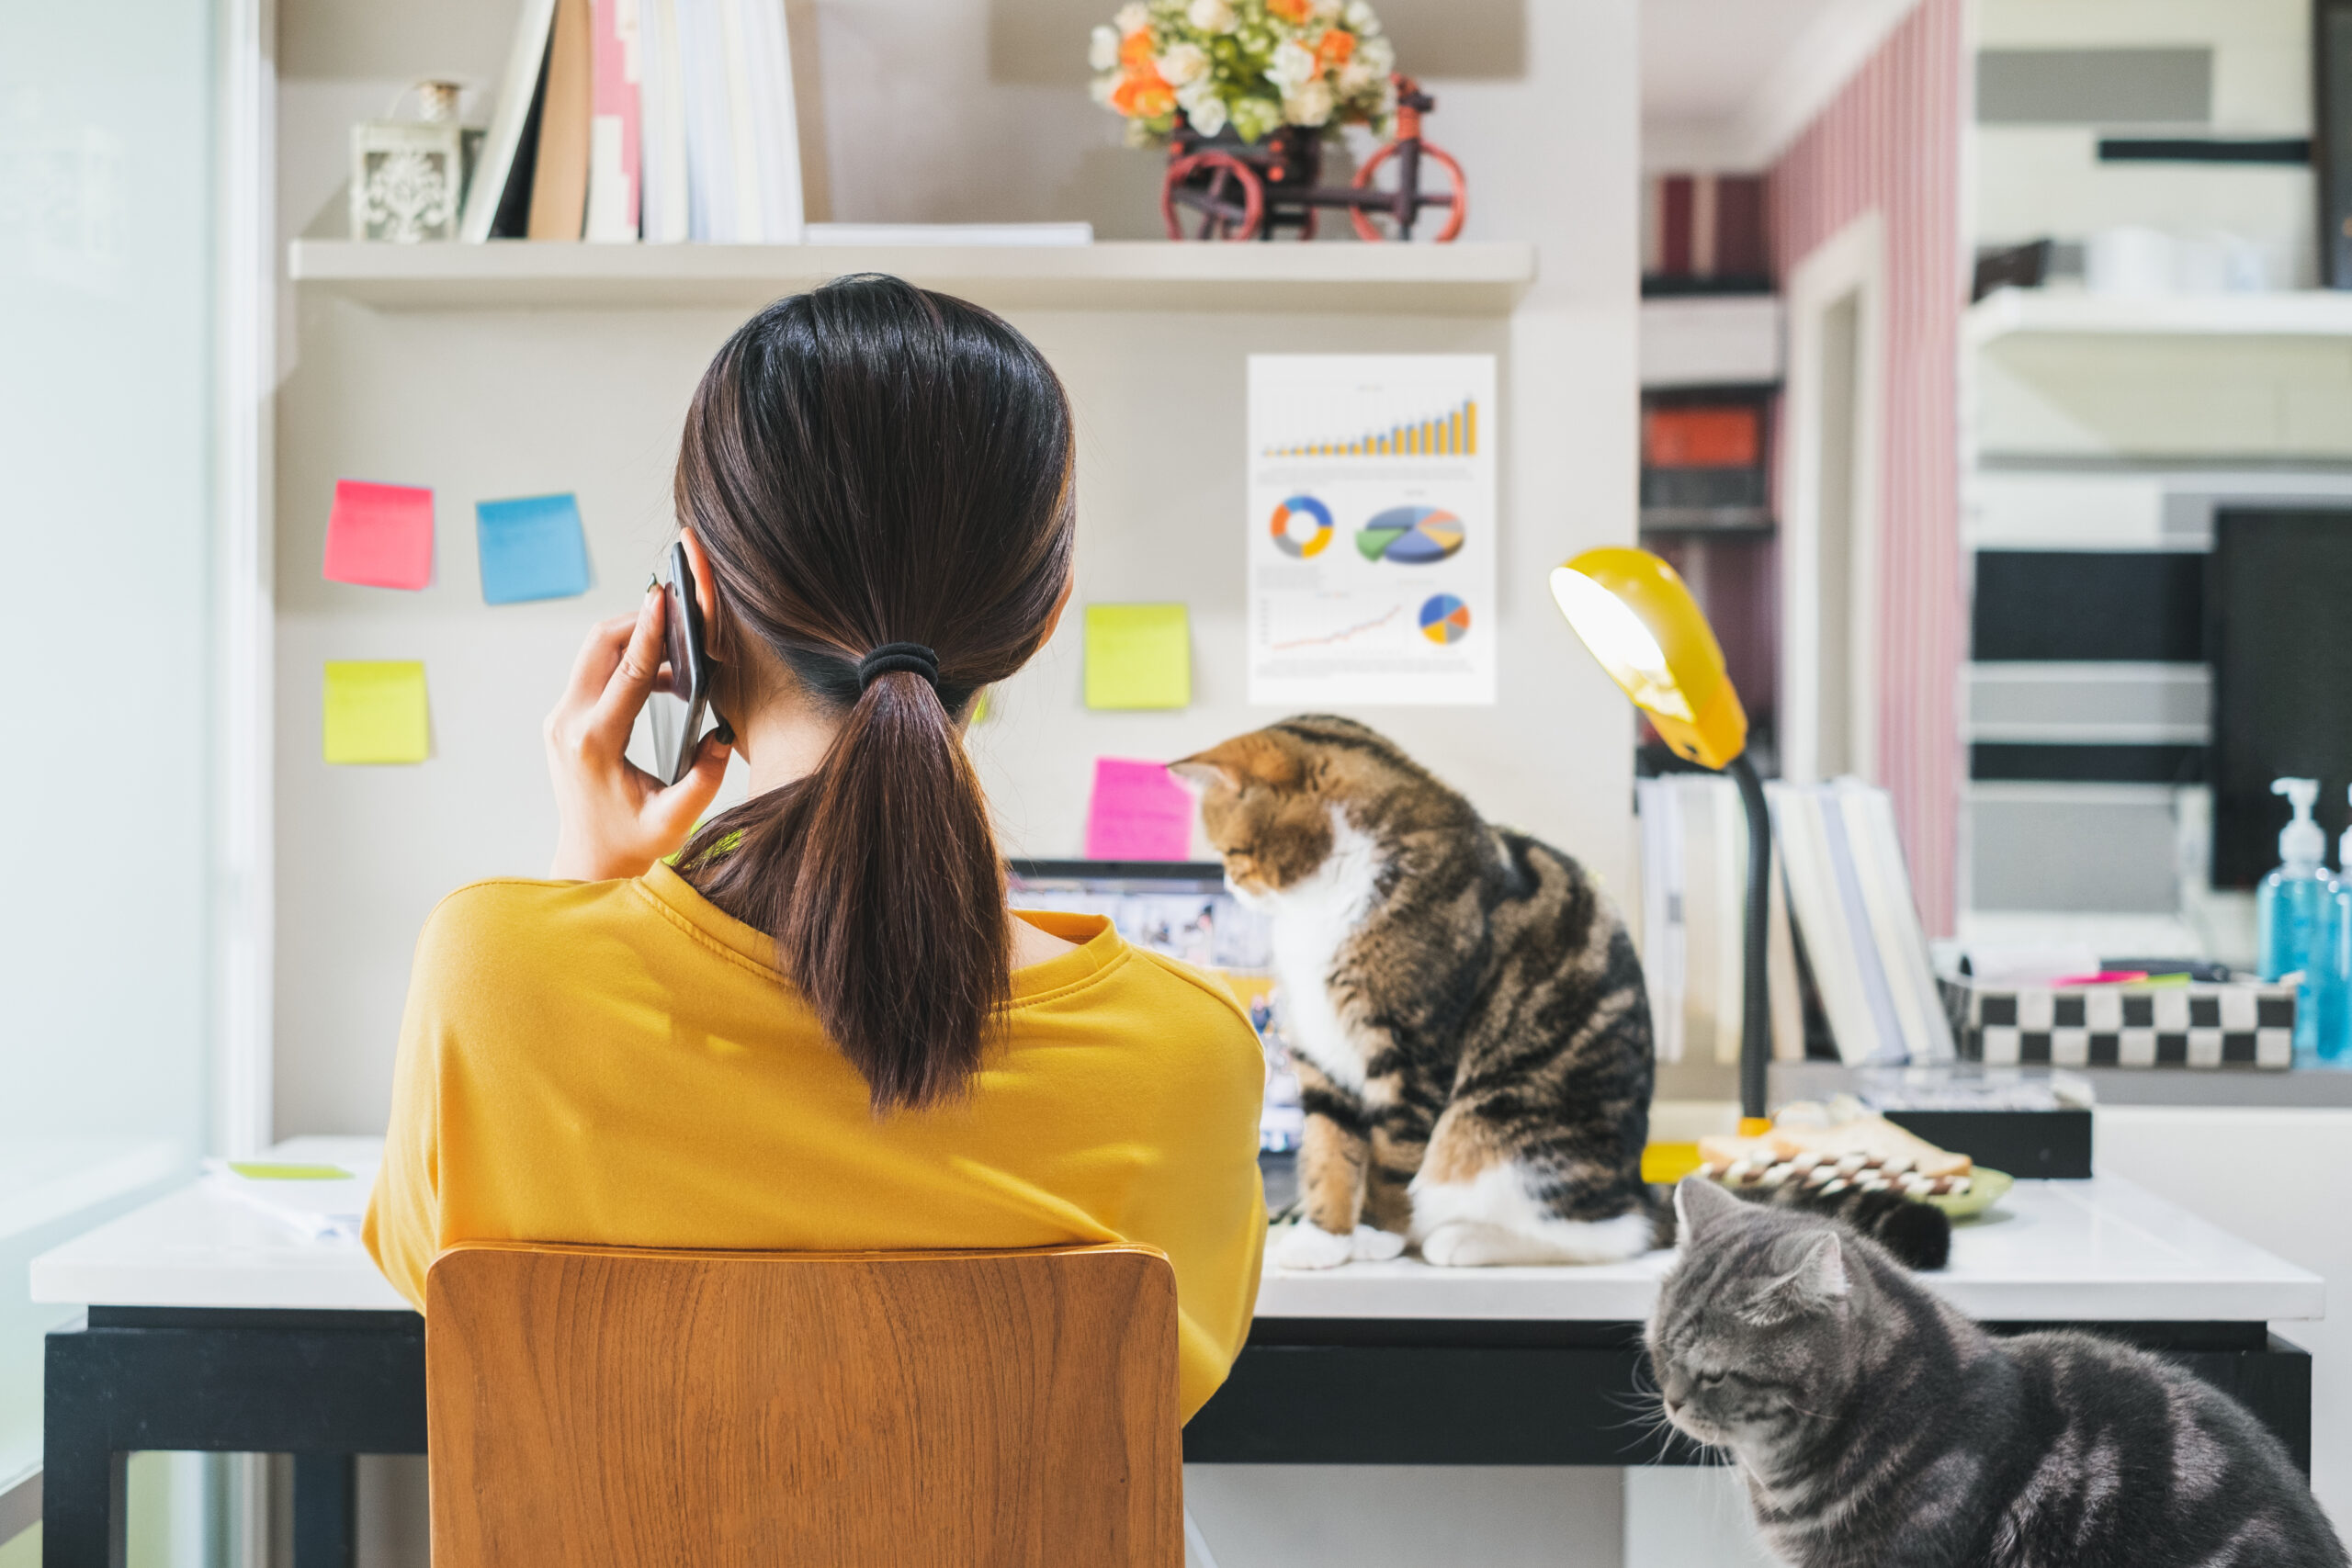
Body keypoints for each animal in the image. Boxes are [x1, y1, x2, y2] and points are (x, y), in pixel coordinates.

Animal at [1170, 719, 1656, 1269]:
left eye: (1232, 853)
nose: (1231, 885)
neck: (1320, 905)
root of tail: (1637, 1184)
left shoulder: (1412, 1048)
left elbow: (1391, 1154)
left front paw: (1376, 1233)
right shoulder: (1321, 1047)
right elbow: (1327, 1148)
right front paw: (1324, 1237)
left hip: (1500, 1129)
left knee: (1609, 1234)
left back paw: (1463, 1239)